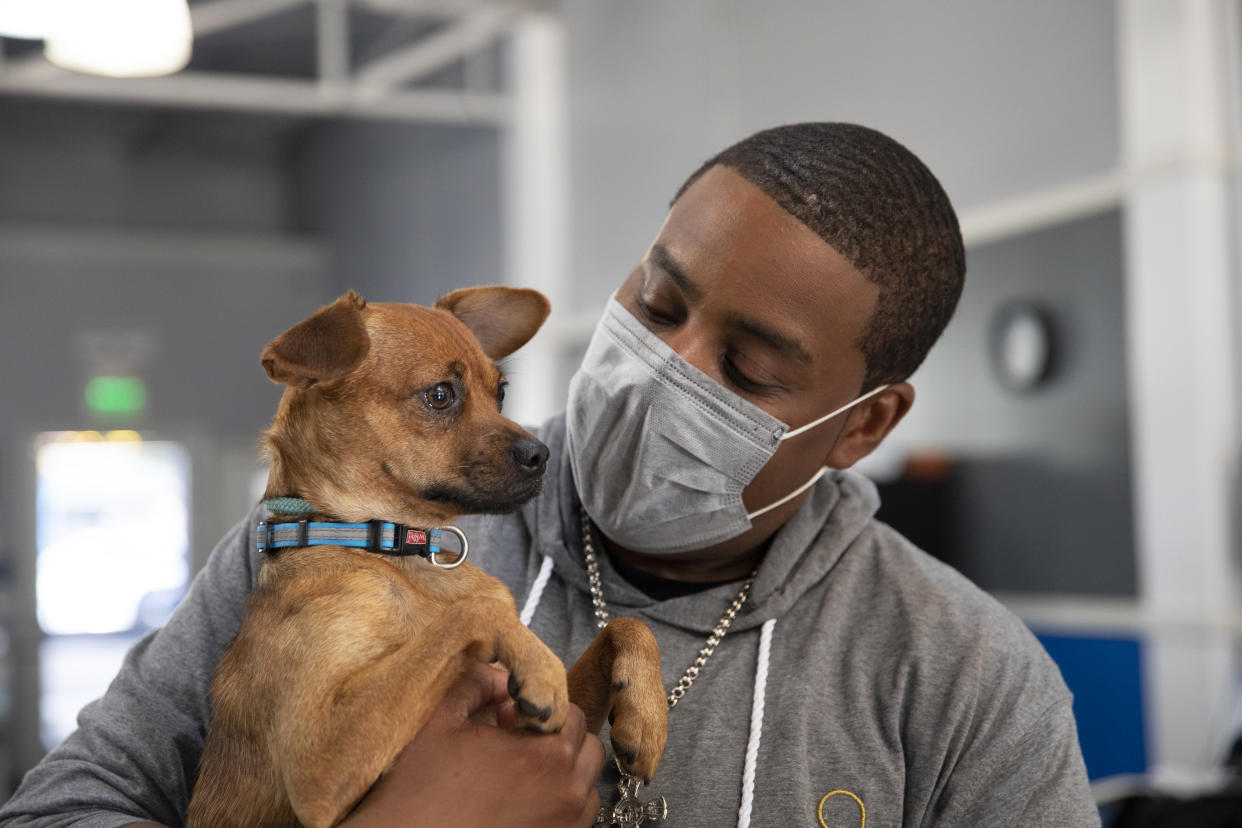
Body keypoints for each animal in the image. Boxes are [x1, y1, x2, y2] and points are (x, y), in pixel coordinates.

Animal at [182, 290, 665, 828]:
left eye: (501, 393)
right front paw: (536, 660)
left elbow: (625, 626)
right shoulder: (318, 765)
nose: (542, 456)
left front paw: (646, 721)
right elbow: (478, 609)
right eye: (440, 395)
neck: (389, 548)